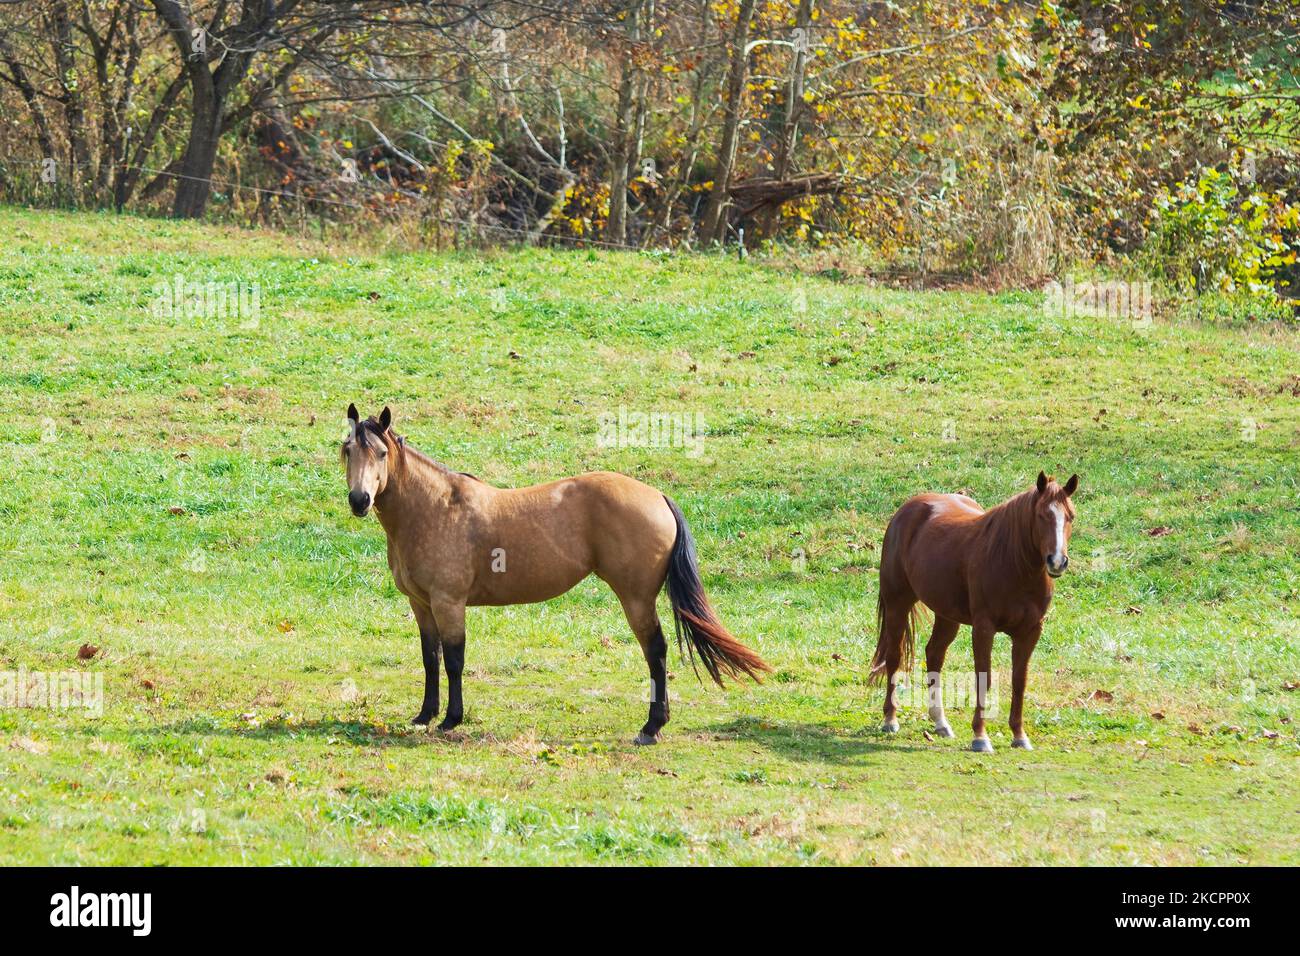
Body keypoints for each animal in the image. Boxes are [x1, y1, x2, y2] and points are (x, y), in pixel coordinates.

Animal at [338, 408, 769, 743]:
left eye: (381, 453)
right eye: (347, 450)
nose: (360, 500)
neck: (435, 507)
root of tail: (657, 496)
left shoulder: (449, 602)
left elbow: (455, 660)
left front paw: (450, 720)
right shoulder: (422, 604)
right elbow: (431, 658)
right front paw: (425, 715)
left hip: (636, 599)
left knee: (656, 652)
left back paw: (651, 727)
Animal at [873, 476, 1076, 749]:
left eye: (1070, 516)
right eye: (1042, 515)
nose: (1057, 561)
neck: (1014, 564)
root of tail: (905, 511)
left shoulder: (1030, 631)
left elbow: (1019, 681)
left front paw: (1019, 736)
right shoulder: (984, 628)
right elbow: (984, 677)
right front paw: (980, 736)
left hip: (946, 616)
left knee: (934, 654)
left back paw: (941, 723)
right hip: (898, 604)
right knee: (894, 658)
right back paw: (890, 719)